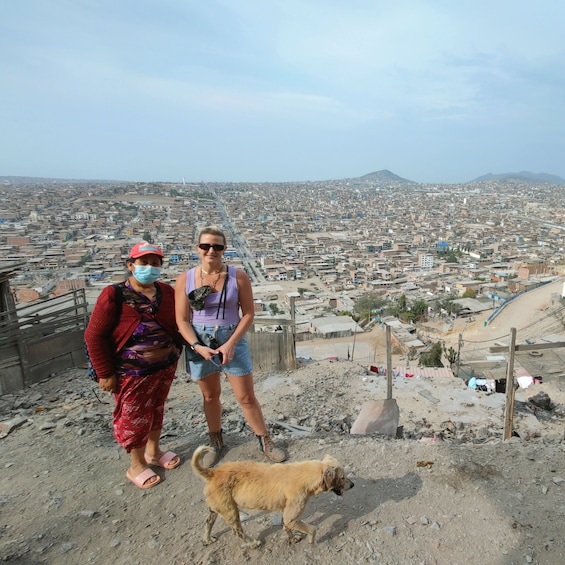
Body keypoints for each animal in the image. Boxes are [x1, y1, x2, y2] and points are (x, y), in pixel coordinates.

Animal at [191, 446, 352, 548]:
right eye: (342, 477)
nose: (353, 485)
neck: (306, 474)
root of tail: (213, 473)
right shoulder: (291, 516)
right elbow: (312, 528)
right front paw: (311, 540)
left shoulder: (287, 516)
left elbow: (287, 528)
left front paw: (292, 539)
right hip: (230, 512)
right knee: (237, 531)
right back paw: (252, 543)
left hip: (216, 508)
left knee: (208, 521)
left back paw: (207, 539)